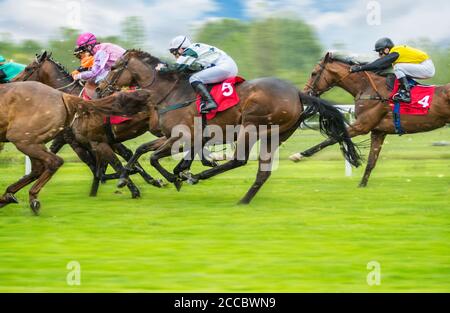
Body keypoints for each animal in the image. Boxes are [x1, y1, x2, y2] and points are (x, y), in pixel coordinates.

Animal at [0, 80, 150, 212]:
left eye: (29, 69)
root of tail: (62, 96)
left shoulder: (87, 143)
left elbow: (110, 164)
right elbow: (107, 165)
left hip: (23, 139)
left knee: (53, 161)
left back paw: (28, 198)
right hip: (30, 140)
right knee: (39, 167)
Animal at [12, 51, 165, 195]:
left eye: (28, 68)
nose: (13, 81)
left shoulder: (82, 142)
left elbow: (111, 164)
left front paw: (134, 186)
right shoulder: (90, 140)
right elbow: (114, 161)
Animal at [106, 51, 362, 204]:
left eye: (115, 67)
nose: (101, 87)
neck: (171, 93)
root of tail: (298, 93)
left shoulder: (184, 136)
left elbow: (154, 158)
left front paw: (176, 176)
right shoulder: (170, 136)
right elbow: (142, 150)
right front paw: (125, 179)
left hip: (251, 126)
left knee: (239, 160)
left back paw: (197, 177)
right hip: (274, 136)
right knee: (263, 172)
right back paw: (243, 199)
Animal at [288, 52, 450, 186]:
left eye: (314, 73)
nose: (305, 93)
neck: (369, 89)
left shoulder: (362, 126)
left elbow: (332, 138)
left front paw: (298, 155)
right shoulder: (378, 131)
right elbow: (371, 161)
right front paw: (362, 185)